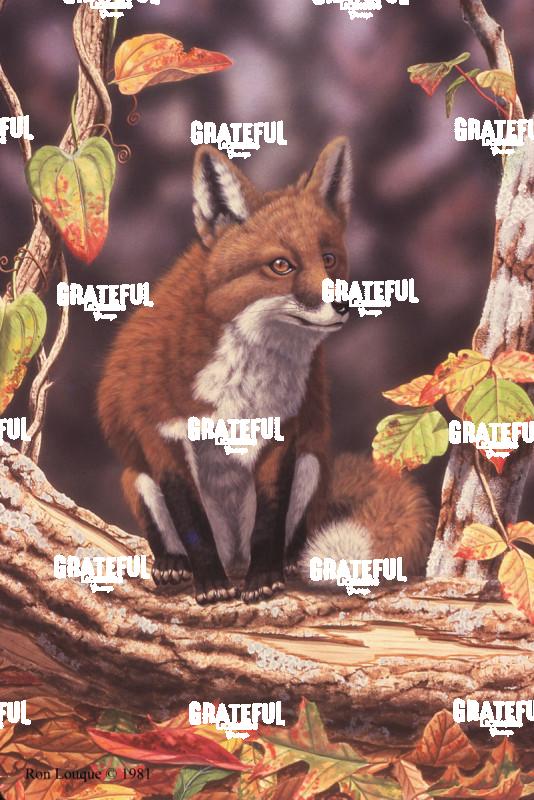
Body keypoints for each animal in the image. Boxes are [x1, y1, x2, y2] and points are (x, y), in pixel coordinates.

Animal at [97, 137, 434, 605]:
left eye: (329, 258)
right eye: (281, 265)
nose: (343, 304)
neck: (242, 382)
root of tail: (233, 556)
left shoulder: (282, 435)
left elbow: (269, 520)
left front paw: (265, 579)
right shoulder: (162, 438)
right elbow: (193, 524)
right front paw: (211, 585)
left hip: (311, 465)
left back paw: (283, 563)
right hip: (139, 480)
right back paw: (174, 565)